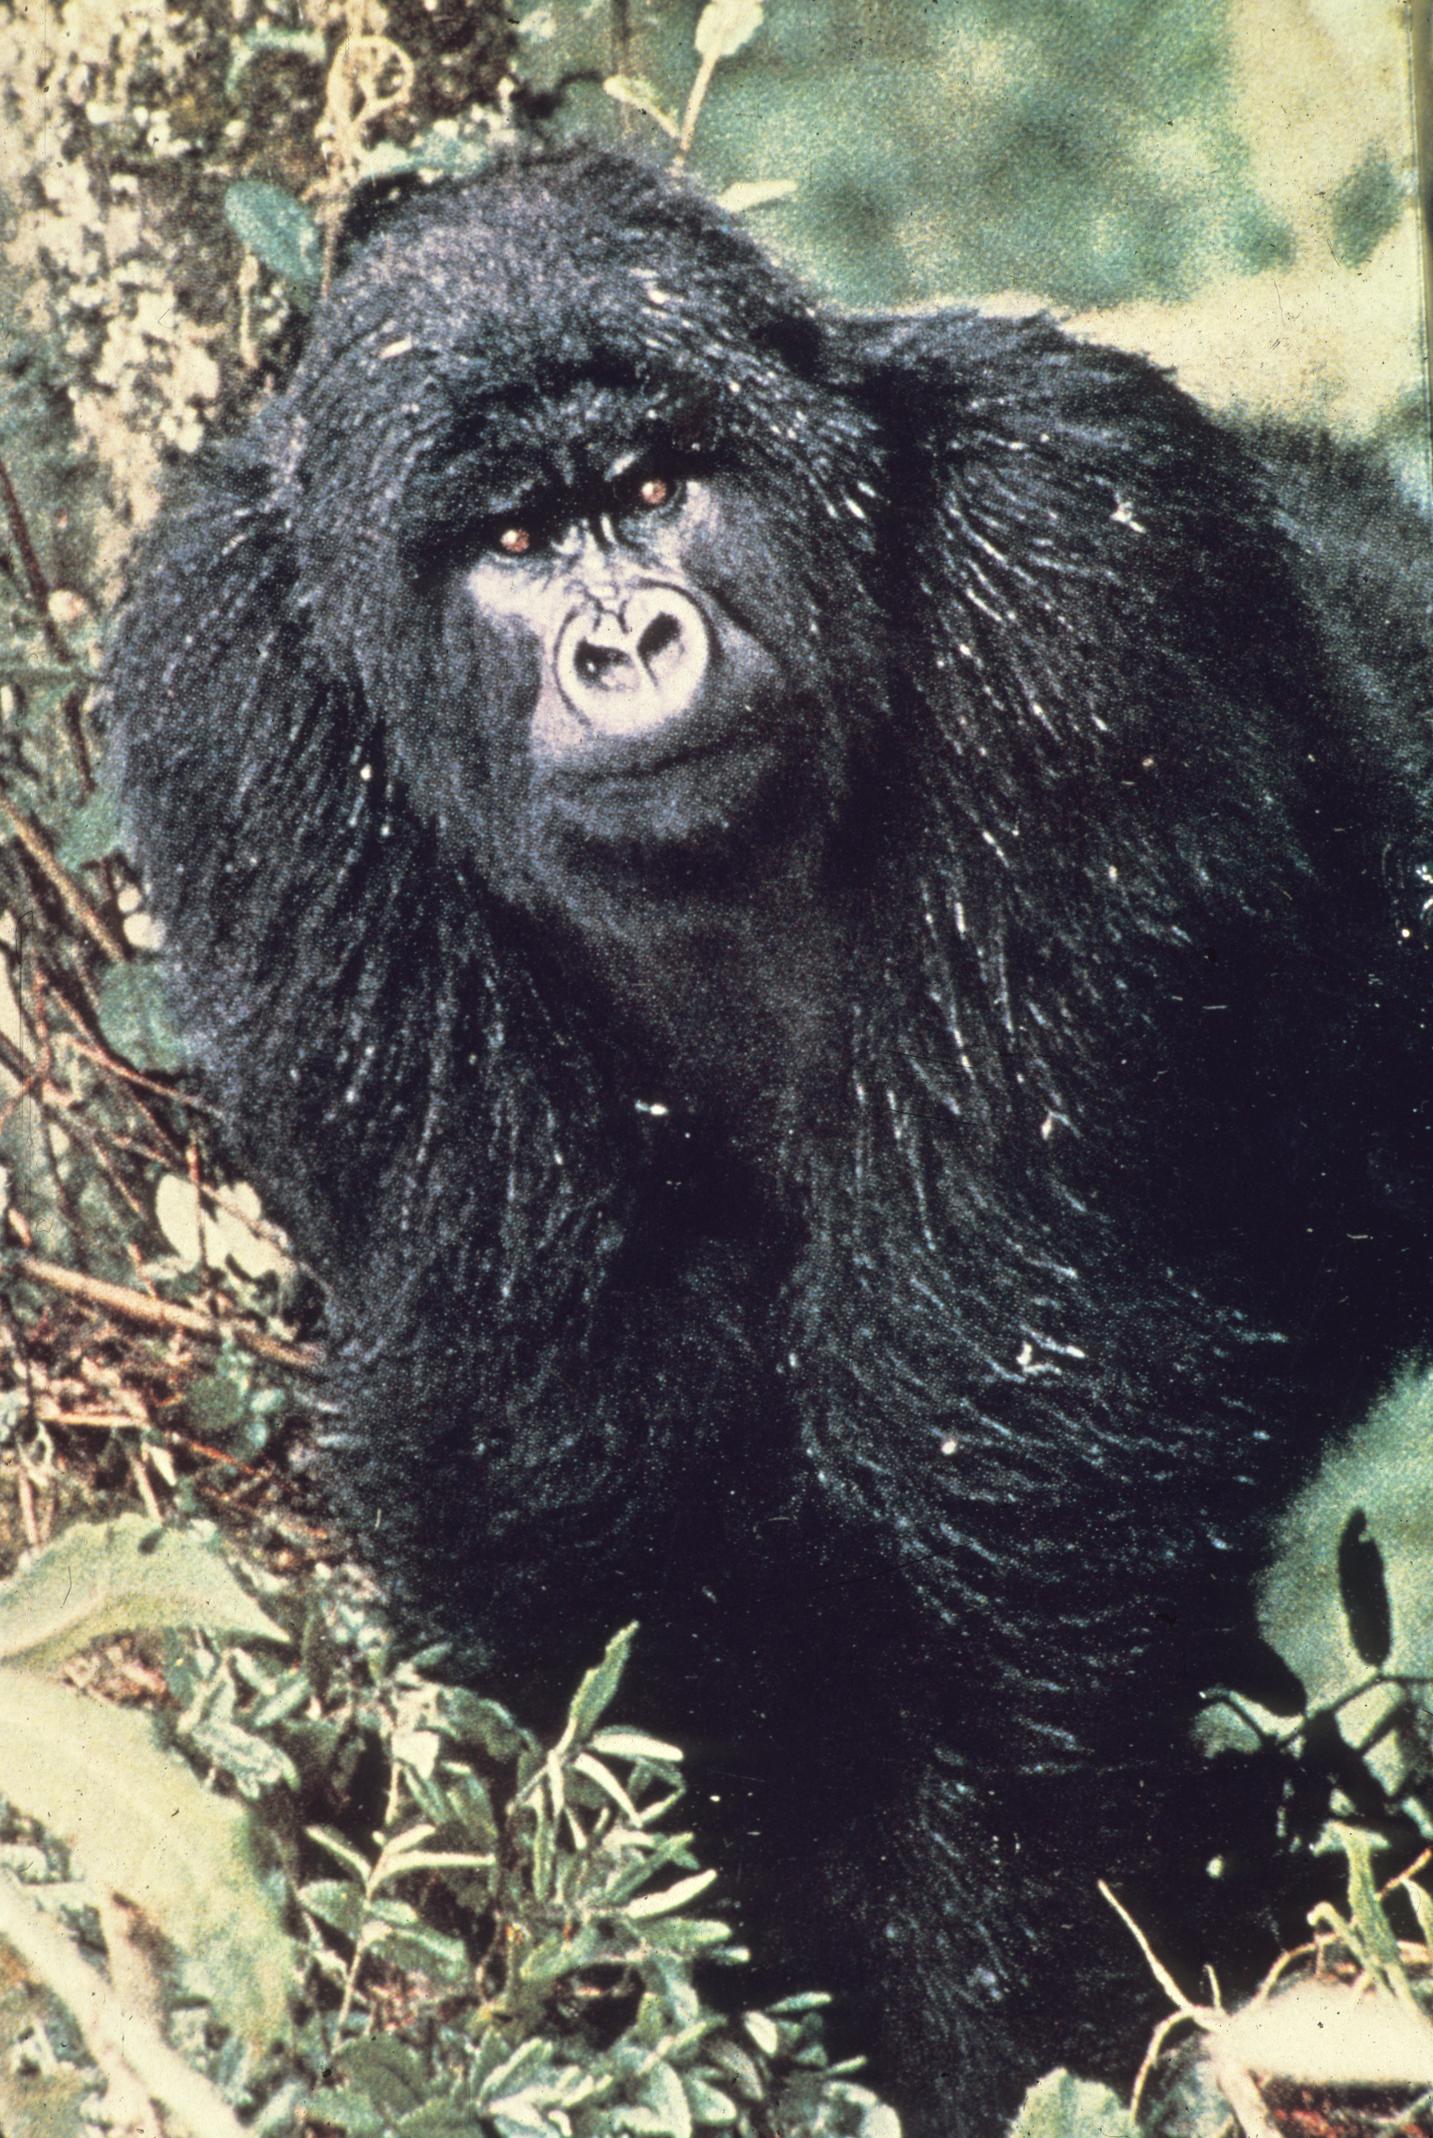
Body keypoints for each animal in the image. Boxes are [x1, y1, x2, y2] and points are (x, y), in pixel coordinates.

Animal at [106, 142, 1433, 2129]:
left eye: (658, 488)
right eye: (518, 543)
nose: (627, 638)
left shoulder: (1081, 559)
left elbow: (999, 1437)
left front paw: (1010, 1988)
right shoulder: (229, 692)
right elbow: (565, 1411)